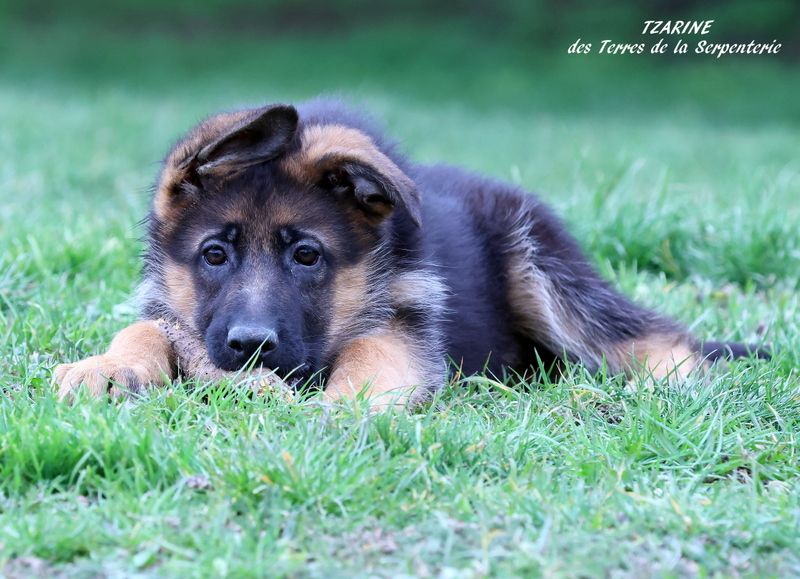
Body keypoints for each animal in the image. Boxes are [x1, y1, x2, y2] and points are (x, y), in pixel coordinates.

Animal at [54, 98, 768, 408]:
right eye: (212, 255)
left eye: (307, 256)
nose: (250, 347)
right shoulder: (175, 310)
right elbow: (146, 326)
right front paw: (107, 367)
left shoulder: (404, 324)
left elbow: (372, 354)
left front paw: (341, 409)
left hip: (540, 267)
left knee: (652, 338)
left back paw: (663, 383)